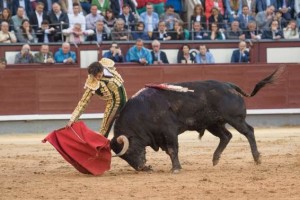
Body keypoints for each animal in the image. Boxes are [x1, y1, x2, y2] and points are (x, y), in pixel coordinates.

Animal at [110, 68, 284, 173]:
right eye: (124, 157)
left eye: (130, 151)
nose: (141, 167)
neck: (142, 113)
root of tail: (229, 85)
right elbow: (169, 151)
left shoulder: (169, 131)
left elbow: (172, 150)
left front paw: (176, 169)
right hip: (213, 124)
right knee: (226, 136)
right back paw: (215, 159)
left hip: (235, 119)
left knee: (248, 131)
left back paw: (257, 158)